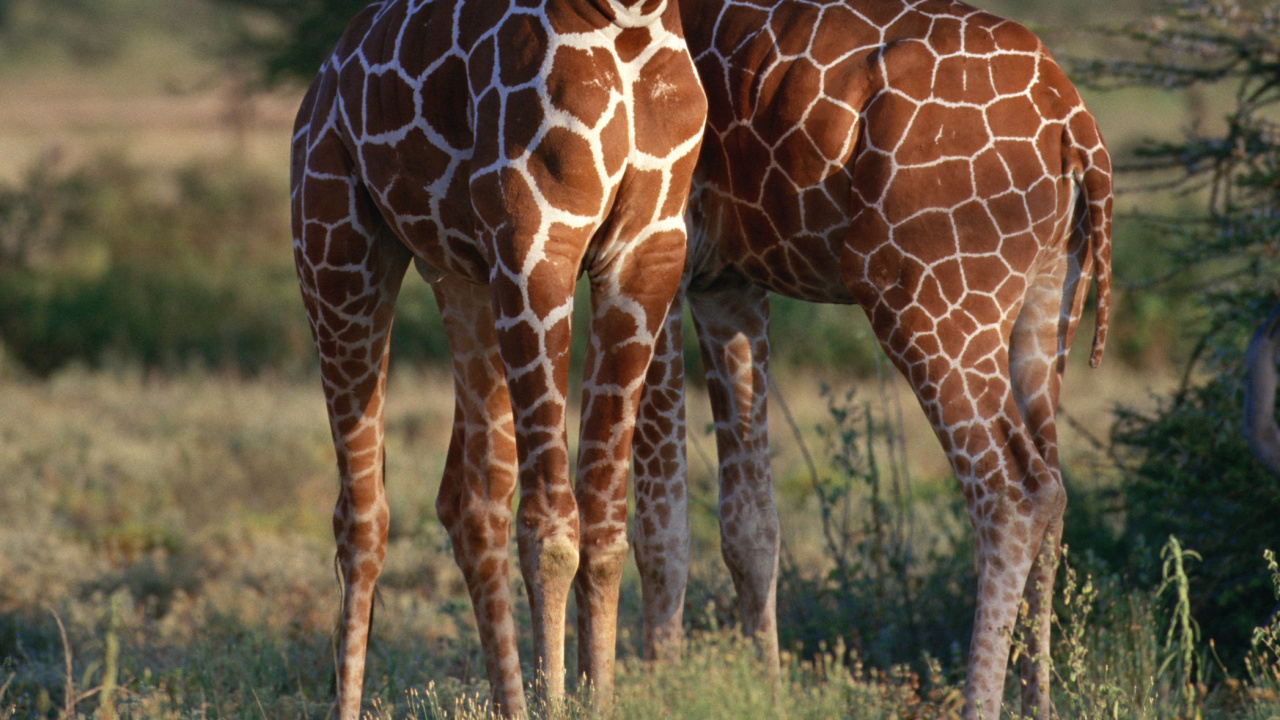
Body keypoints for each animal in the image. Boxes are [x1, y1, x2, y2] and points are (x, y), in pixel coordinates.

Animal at [289, 0, 706, 716]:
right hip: (337, 254)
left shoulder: (649, 249)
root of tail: (317, 89)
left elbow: (605, 529)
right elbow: (551, 529)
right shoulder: (537, 240)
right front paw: (558, 698)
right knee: (361, 518)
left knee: (470, 499)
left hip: (463, 279)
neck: (629, 16)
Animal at [630, 1, 1113, 717]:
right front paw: (767, 697)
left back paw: (978, 702)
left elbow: (652, 522)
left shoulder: (648, 253)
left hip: (920, 291)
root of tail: (1074, 125)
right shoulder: (728, 280)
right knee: (1053, 489)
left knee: (1013, 493)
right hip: (1047, 305)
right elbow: (750, 525)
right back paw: (1039, 706)